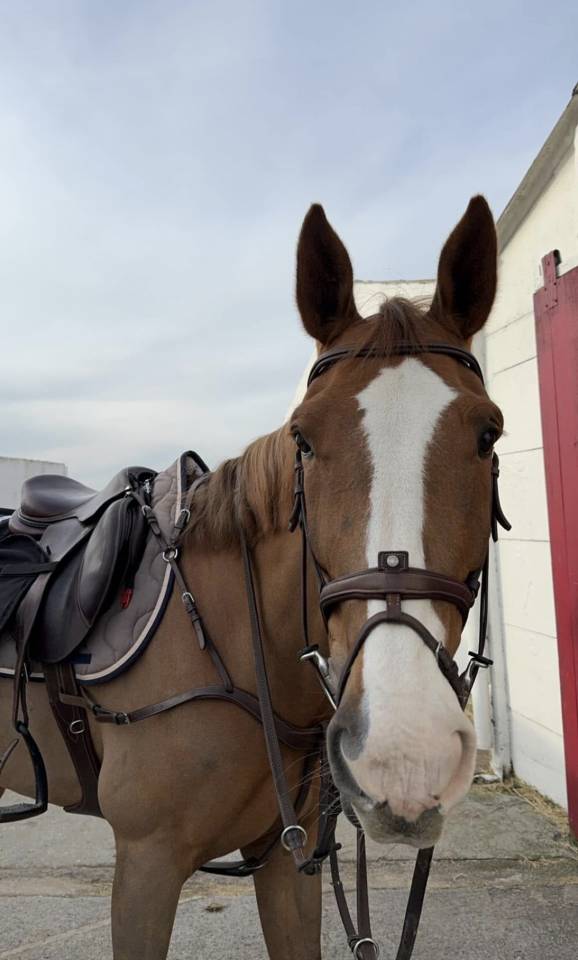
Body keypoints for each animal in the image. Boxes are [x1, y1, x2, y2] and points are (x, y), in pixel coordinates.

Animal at [0, 193, 502, 959]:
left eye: (488, 435)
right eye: (304, 438)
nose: (403, 752)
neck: (229, 638)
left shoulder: (285, 864)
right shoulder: (144, 867)